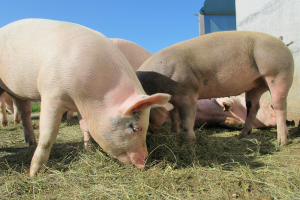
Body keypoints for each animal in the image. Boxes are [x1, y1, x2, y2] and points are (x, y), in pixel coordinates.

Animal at [0, 18, 172, 176]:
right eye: (135, 128)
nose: (145, 162)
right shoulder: (52, 93)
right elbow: (48, 134)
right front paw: (34, 173)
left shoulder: (82, 105)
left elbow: (85, 126)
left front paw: (89, 149)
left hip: (17, 94)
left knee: (24, 111)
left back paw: (30, 142)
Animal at [137, 31, 294, 147]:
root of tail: (282, 43)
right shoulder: (174, 99)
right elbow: (175, 121)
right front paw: (175, 138)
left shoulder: (188, 93)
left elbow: (187, 122)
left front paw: (191, 144)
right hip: (256, 85)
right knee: (253, 107)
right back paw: (242, 136)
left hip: (278, 73)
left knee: (280, 106)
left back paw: (282, 142)